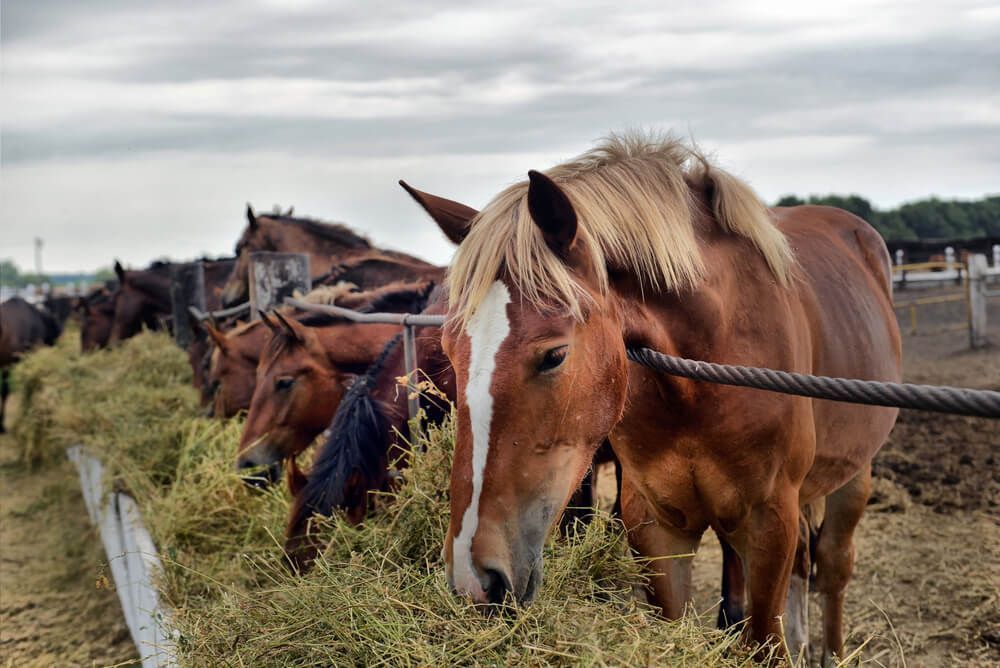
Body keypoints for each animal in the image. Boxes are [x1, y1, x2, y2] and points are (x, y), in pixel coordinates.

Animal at [411, 133, 900, 663]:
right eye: (449, 350)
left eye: (554, 355)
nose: (473, 578)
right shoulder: (656, 524)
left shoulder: (770, 523)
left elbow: (763, 642)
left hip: (853, 477)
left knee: (832, 569)